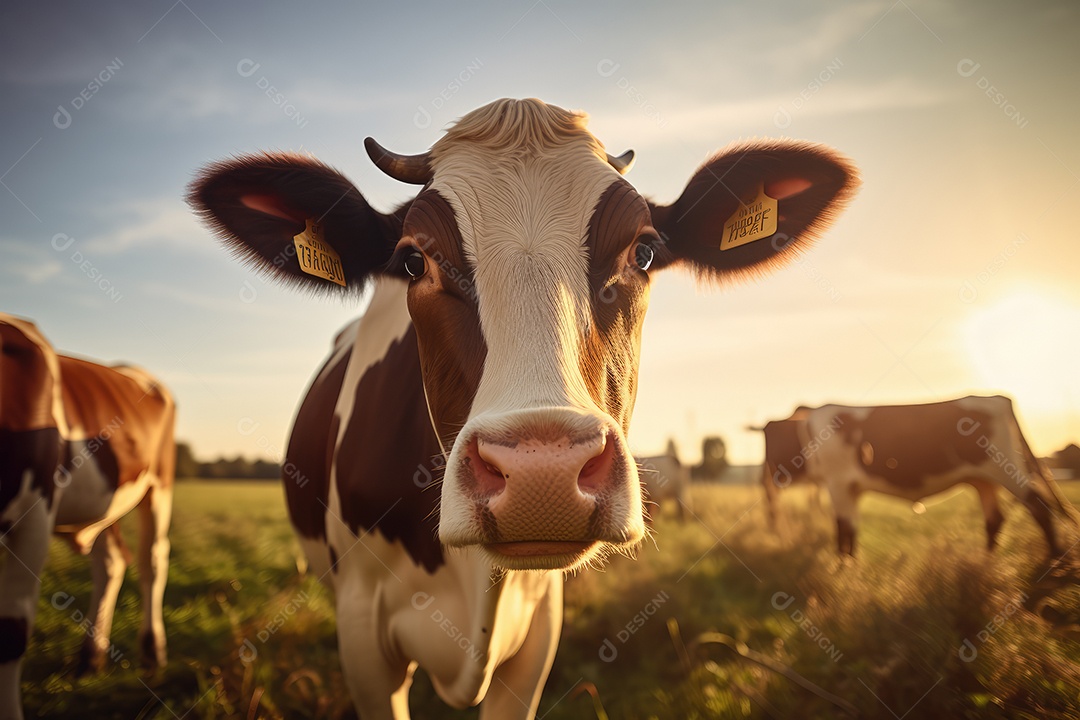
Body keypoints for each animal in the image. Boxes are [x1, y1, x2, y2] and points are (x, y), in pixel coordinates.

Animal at [0, 314, 175, 720]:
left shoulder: (34, 514)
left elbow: (11, 631)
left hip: (158, 487)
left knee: (152, 561)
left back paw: (153, 652)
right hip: (107, 505)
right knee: (112, 562)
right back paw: (90, 659)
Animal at [799, 395, 1079, 556]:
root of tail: (995, 397)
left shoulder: (837, 483)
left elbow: (842, 530)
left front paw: (842, 572)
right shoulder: (850, 489)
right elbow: (851, 529)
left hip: (1006, 469)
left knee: (1039, 506)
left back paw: (1053, 558)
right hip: (985, 480)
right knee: (995, 519)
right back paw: (985, 564)